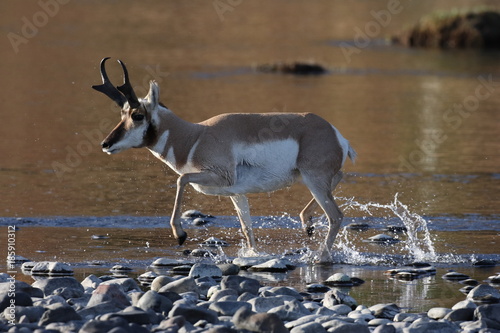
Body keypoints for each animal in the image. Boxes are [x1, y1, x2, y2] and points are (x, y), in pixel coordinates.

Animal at [93, 58, 356, 264]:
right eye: (122, 114)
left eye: (137, 115)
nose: (105, 144)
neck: (194, 136)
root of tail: (335, 134)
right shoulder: (236, 193)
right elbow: (247, 230)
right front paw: (252, 255)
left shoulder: (218, 176)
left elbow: (181, 179)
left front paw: (180, 234)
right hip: (310, 178)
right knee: (340, 180)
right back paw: (306, 222)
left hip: (314, 179)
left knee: (336, 216)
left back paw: (321, 256)